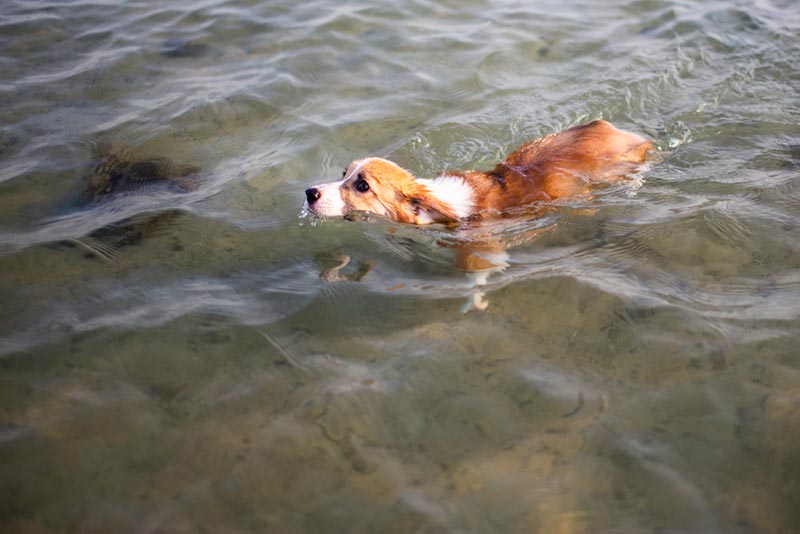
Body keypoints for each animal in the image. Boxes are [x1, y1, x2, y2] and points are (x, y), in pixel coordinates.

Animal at [304, 118, 652, 310]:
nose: (310, 193)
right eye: (343, 173)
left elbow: (478, 273)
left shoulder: (482, 246)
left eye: (362, 185)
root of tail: (611, 128)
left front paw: (474, 301)